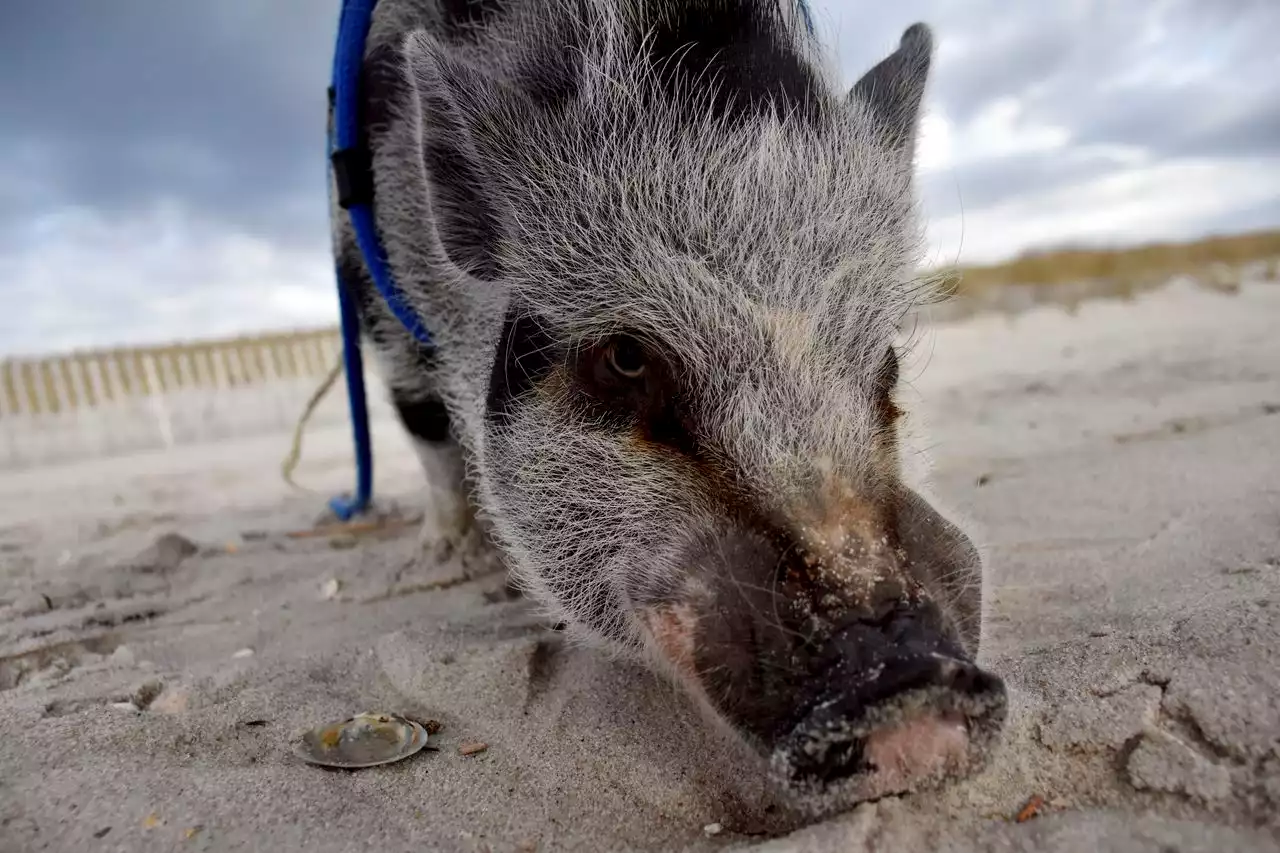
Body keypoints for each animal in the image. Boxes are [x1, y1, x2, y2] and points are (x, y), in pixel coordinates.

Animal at [330, 0, 1008, 814]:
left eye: (886, 360)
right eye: (624, 360)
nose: (909, 680)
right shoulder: (377, 299)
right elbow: (427, 433)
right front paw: (439, 566)